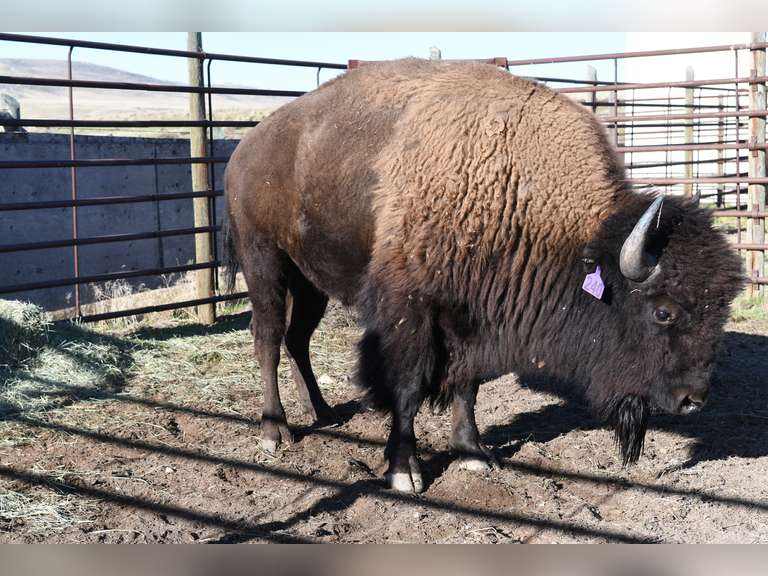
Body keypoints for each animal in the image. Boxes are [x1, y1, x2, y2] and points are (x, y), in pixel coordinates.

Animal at [223, 58, 744, 493]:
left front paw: (473, 453)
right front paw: (404, 472)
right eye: (663, 311)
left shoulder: (473, 313)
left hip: (310, 281)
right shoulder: (411, 311)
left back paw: (322, 410)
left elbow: (467, 383)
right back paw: (275, 429)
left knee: (298, 338)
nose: (693, 400)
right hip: (263, 261)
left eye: (721, 312)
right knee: (268, 336)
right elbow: (408, 386)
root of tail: (247, 146)